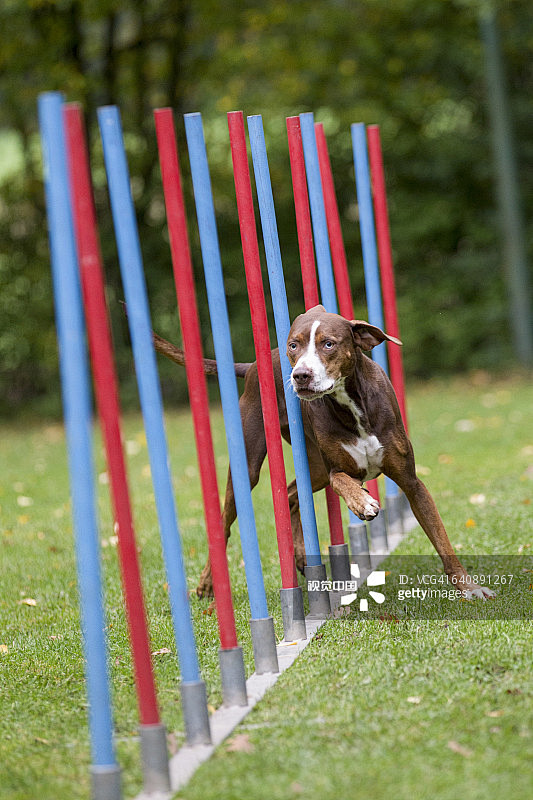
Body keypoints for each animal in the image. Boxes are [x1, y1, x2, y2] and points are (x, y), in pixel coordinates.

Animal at [154, 306, 494, 600]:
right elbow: (342, 481)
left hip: (312, 467)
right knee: (224, 524)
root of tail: (252, 367)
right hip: (250, 467)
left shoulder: (411, 482)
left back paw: (301, 557)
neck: (351, 404)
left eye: (328, 344)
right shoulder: (336, 470)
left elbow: (441, 537)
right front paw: (362, 503)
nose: (300, 375)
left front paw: (470, 588)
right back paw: (207, 584)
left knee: (292, 494)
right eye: (294, 345)